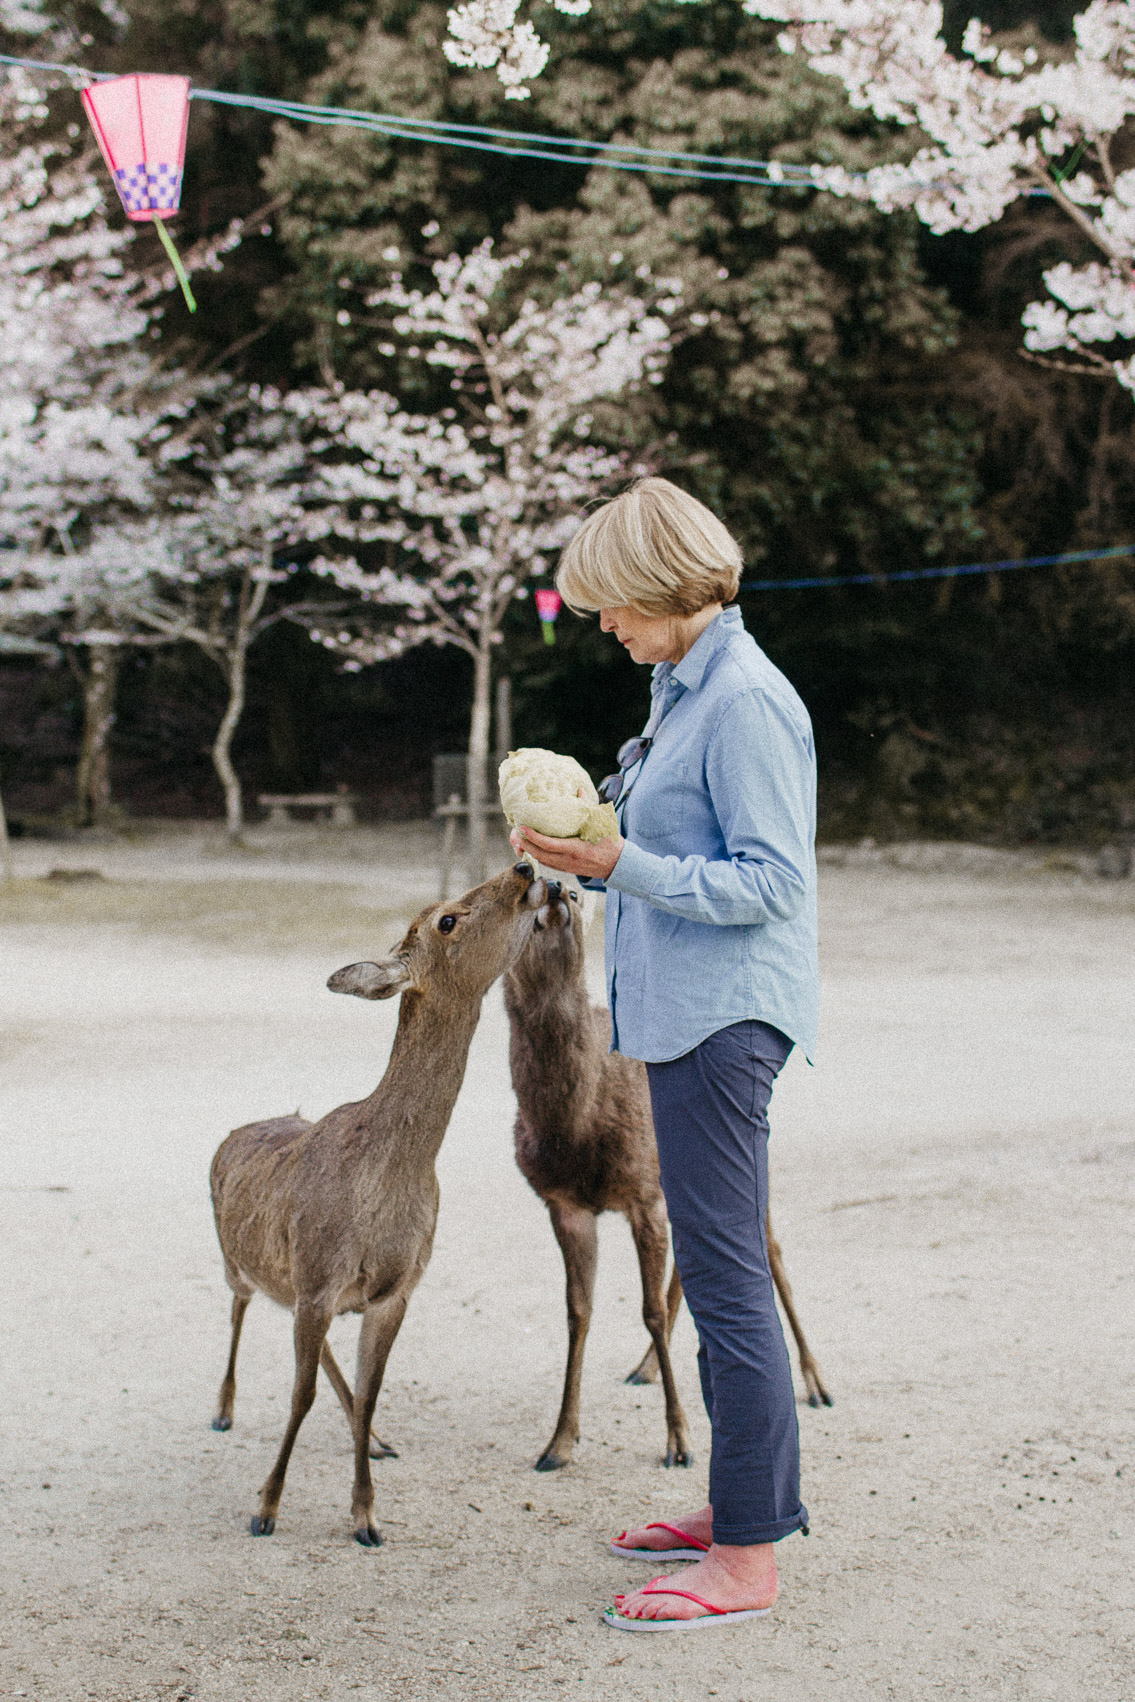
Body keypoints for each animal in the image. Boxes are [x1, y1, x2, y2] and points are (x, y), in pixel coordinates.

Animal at [212, 857, 554, 1552]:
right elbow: (298, 1397)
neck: (387, 1184)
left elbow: (370, 1391)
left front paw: (366, 1516)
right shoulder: (319, 1277)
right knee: (238, 1307)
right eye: (446, 919)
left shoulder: (393, 1290)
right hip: (236, 1261)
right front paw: (266, 1508)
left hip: (296, 1286)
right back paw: (224, 1411)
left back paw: (373, 1440)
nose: (524, 866)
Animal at [500, 885, 830, 1470]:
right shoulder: (564, 1204)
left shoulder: (642, 1192)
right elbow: (577, 1313)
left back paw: (815, 1384)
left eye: (576, 893)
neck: (575, 1130)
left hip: (752, 1152)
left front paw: (679, 1440)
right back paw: (646, 1367)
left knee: (772, 1254)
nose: (558, 888)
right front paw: (559, 1442)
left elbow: (650, 1309)